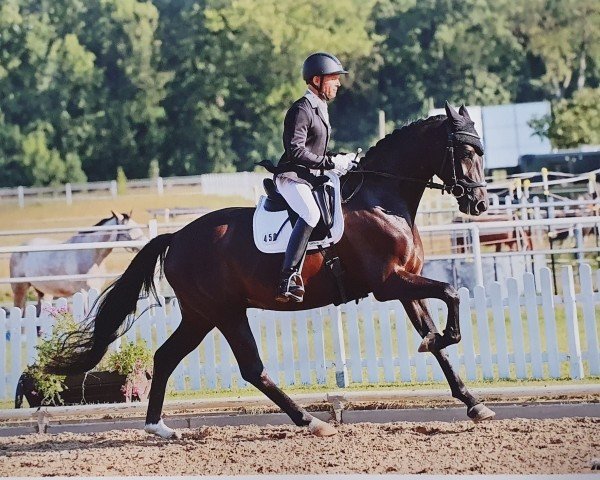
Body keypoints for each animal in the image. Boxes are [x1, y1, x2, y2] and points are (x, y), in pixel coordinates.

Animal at [9, 213, 146, 312]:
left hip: (44, 292)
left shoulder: (96, 288)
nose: (145, 244)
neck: (90, 254)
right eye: (129, 228)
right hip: (20, 289)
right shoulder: (83, 292)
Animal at [48, 102, 496, 438]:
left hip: (199, 315)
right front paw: (445, 342)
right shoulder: (389, 284)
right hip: (226, 312)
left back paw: (158, 427)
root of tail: (176, 237)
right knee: (252, 369)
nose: (479, 204)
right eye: (466, 152)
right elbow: (451, 295)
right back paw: (311, 421)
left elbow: (437, 339)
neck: (381, 196)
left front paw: (472, 401)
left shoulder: (406, 285)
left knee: (165, 356)